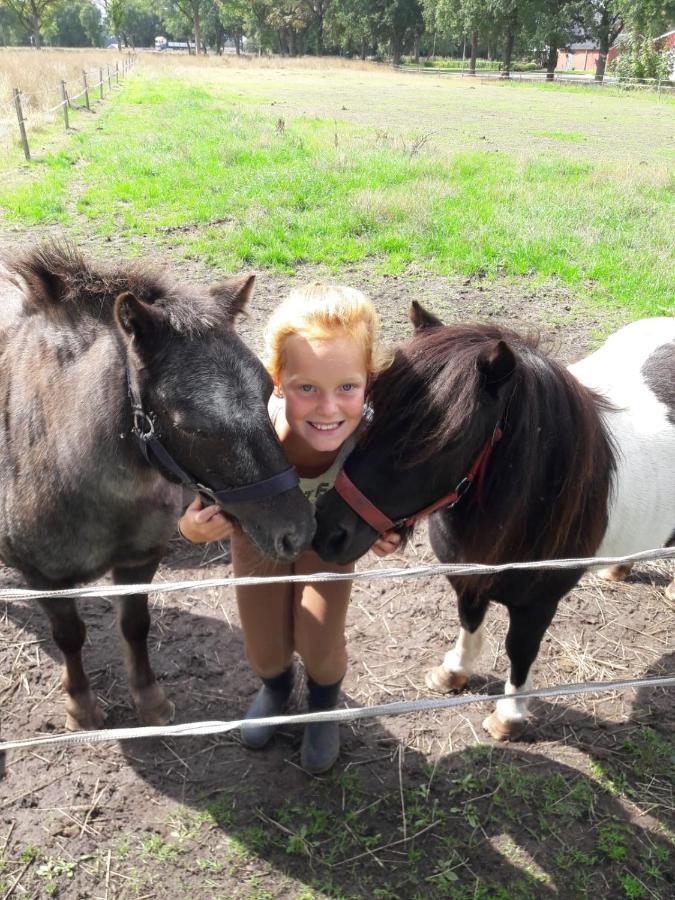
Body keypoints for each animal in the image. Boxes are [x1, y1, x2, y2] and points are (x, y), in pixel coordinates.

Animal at [312, 306, 675, 740]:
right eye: (371, 412)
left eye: (445, 440)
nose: (328, 532)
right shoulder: (468, 576)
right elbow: (469, 621)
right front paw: (453, 672)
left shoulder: (537, 605)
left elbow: (520, 650)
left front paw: (508, 715)